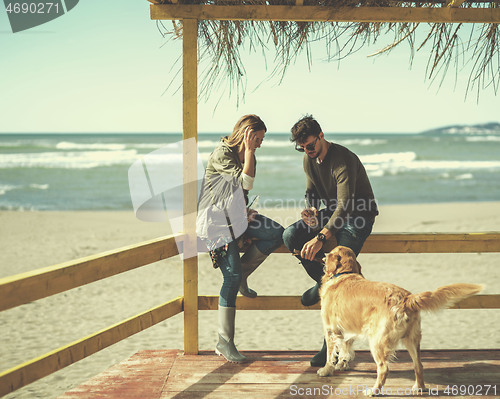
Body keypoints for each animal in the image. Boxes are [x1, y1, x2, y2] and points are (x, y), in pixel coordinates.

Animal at [318, 245, 482, 396]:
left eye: (330, 252)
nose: (323, 256)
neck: (344, 275)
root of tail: (406, 299)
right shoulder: (348, 329)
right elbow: (345, 347)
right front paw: (342, 364)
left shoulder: (329, 328)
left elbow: (330, 353)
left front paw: (326, 370)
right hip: (412, 339)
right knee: (419, 365)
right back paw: (419, 388)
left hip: (377, 342)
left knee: (384, 368)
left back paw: (374, 391)